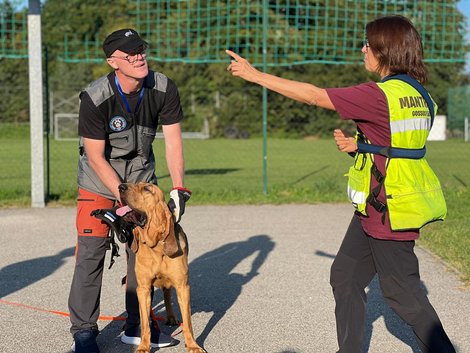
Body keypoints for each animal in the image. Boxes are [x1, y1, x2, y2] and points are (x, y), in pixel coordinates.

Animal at [118, 182, 205, 352]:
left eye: (147, 189)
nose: (120, 186)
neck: (156, 247)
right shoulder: (143, 289)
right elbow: (145, 323)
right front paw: (143, 346)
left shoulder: (183, 287)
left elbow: (187, 323)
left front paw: (192, 345)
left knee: (167, 295)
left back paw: (171, 317)